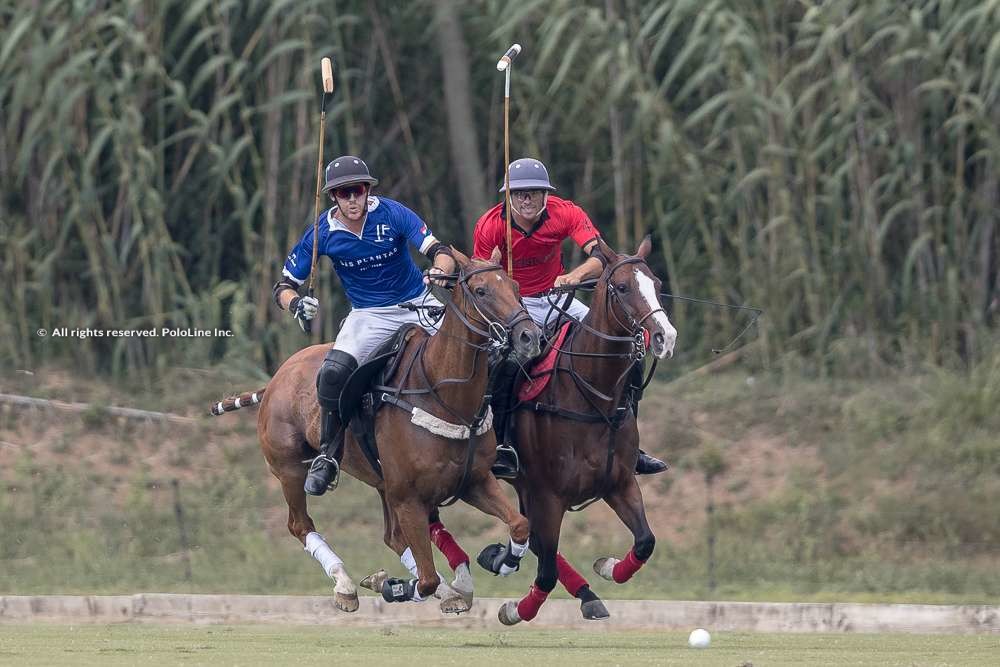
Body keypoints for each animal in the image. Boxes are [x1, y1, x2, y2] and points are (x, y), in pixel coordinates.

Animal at [210, 250, 540, 616]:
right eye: (481, 291)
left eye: (515, 287)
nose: (530, 337)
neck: (443, 395)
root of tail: (275, 378)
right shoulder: (409, 497)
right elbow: (426, 580)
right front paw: (391, 585)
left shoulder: (474, 481)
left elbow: (520, 524)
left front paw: (502, 560)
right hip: (289, 469)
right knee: (300, 524)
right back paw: (345, 584)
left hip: (383, 482)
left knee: (392, 537)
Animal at [466, 237, 672, 624]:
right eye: (623, 287)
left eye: (657, 284)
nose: (665, 337)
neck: (592, 397)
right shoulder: (549, 495)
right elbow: (545, 570)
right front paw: (515, 608)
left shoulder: (620, 483)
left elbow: (645, 541)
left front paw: (607, 567)